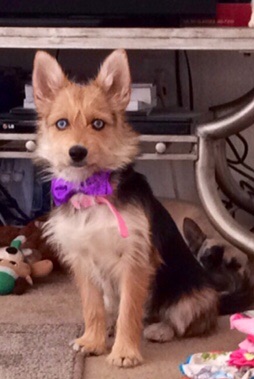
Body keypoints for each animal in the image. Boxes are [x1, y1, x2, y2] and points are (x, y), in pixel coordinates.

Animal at [31, 49, 218, 366]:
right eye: (61, 124)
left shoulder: (135, 261)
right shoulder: (81, 260)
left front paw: (124, 352)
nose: (77, 152)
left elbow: (129, 311)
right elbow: (92, 306)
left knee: (187, 321)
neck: (91, 190)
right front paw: (93, 341)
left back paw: (159, 329)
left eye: (98, 124)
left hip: (196, 296)